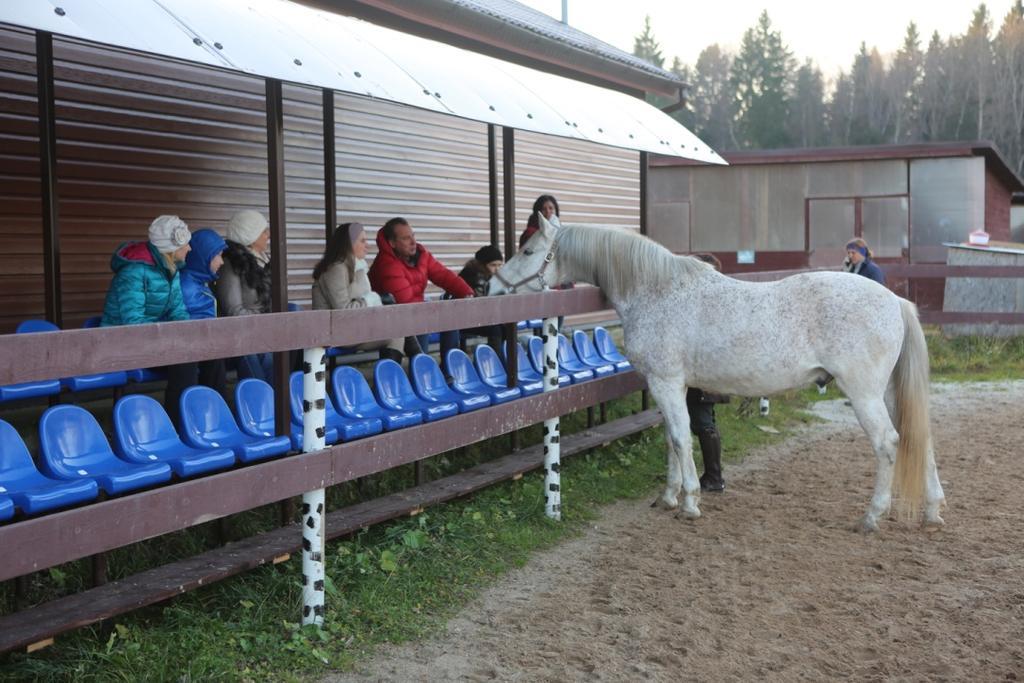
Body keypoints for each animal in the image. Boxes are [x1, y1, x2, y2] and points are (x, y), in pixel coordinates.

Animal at [491, 216, 946, 532]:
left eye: (528, 250)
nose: (494, 290)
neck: (657, 290)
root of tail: (894, 301)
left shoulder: (666, 382)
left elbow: (679, 438)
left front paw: (690, 503)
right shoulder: (673, 386)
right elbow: (672, 440)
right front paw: (669, 497)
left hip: (864, 393)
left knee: (888, 444)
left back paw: (872, 516)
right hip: (888, 391)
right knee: (919, 438)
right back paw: (933, 511)